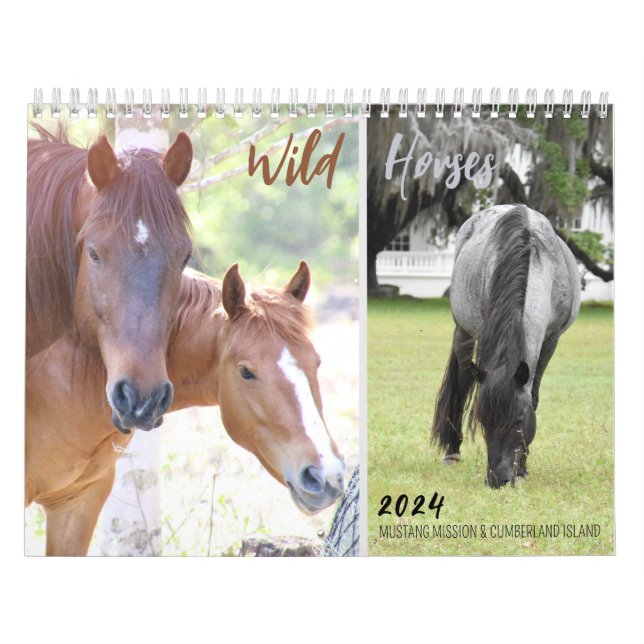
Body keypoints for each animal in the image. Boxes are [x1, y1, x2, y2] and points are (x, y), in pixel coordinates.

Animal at [431, 204, 580, 487]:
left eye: (519, 420)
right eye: (483, 420)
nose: (497, 480)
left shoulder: (550, 341)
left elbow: (534, 397)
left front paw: (523, 468)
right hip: (463, 331)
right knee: (464, 379)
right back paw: (452, 452)